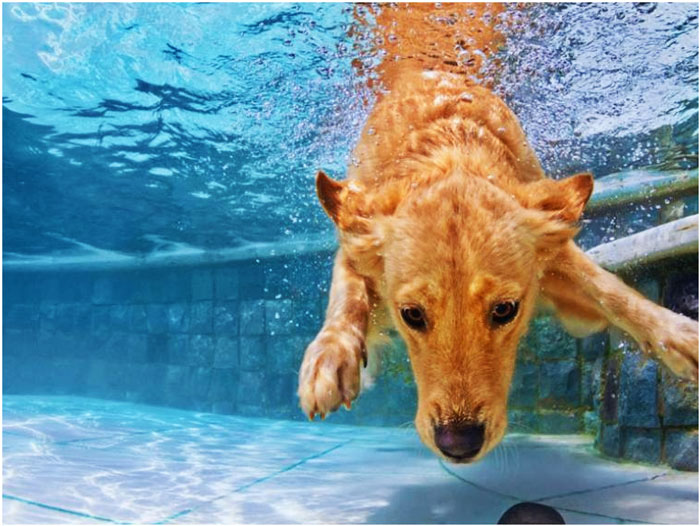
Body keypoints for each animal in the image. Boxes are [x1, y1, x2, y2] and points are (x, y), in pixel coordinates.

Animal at [296, 4, 700, 466]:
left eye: (506, 310)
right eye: (412, 315)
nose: (458, 444)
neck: (451, 144)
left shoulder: (552, 244)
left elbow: (608, 289)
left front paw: (679, 336)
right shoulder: (355, 229)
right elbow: (348, 295)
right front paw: (330, 359)